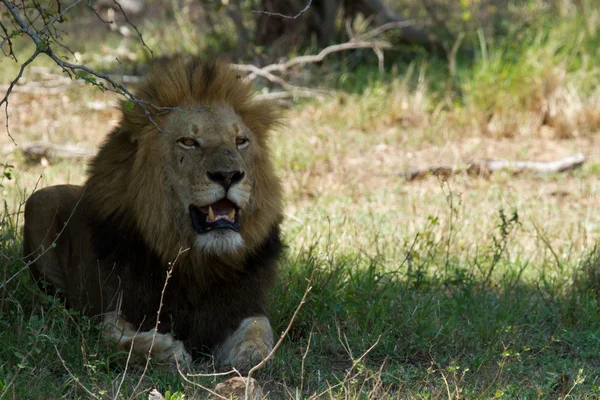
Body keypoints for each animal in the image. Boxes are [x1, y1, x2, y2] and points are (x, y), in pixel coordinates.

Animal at [22, 57, 284, 374]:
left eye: (241, 141)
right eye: (188, 142)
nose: (229, 176)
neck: (196, 262)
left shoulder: (240, 306)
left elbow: (261, 331)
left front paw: (249, 355)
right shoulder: (116, 305)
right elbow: (113, 336)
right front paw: (167, 352)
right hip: (39, 202)